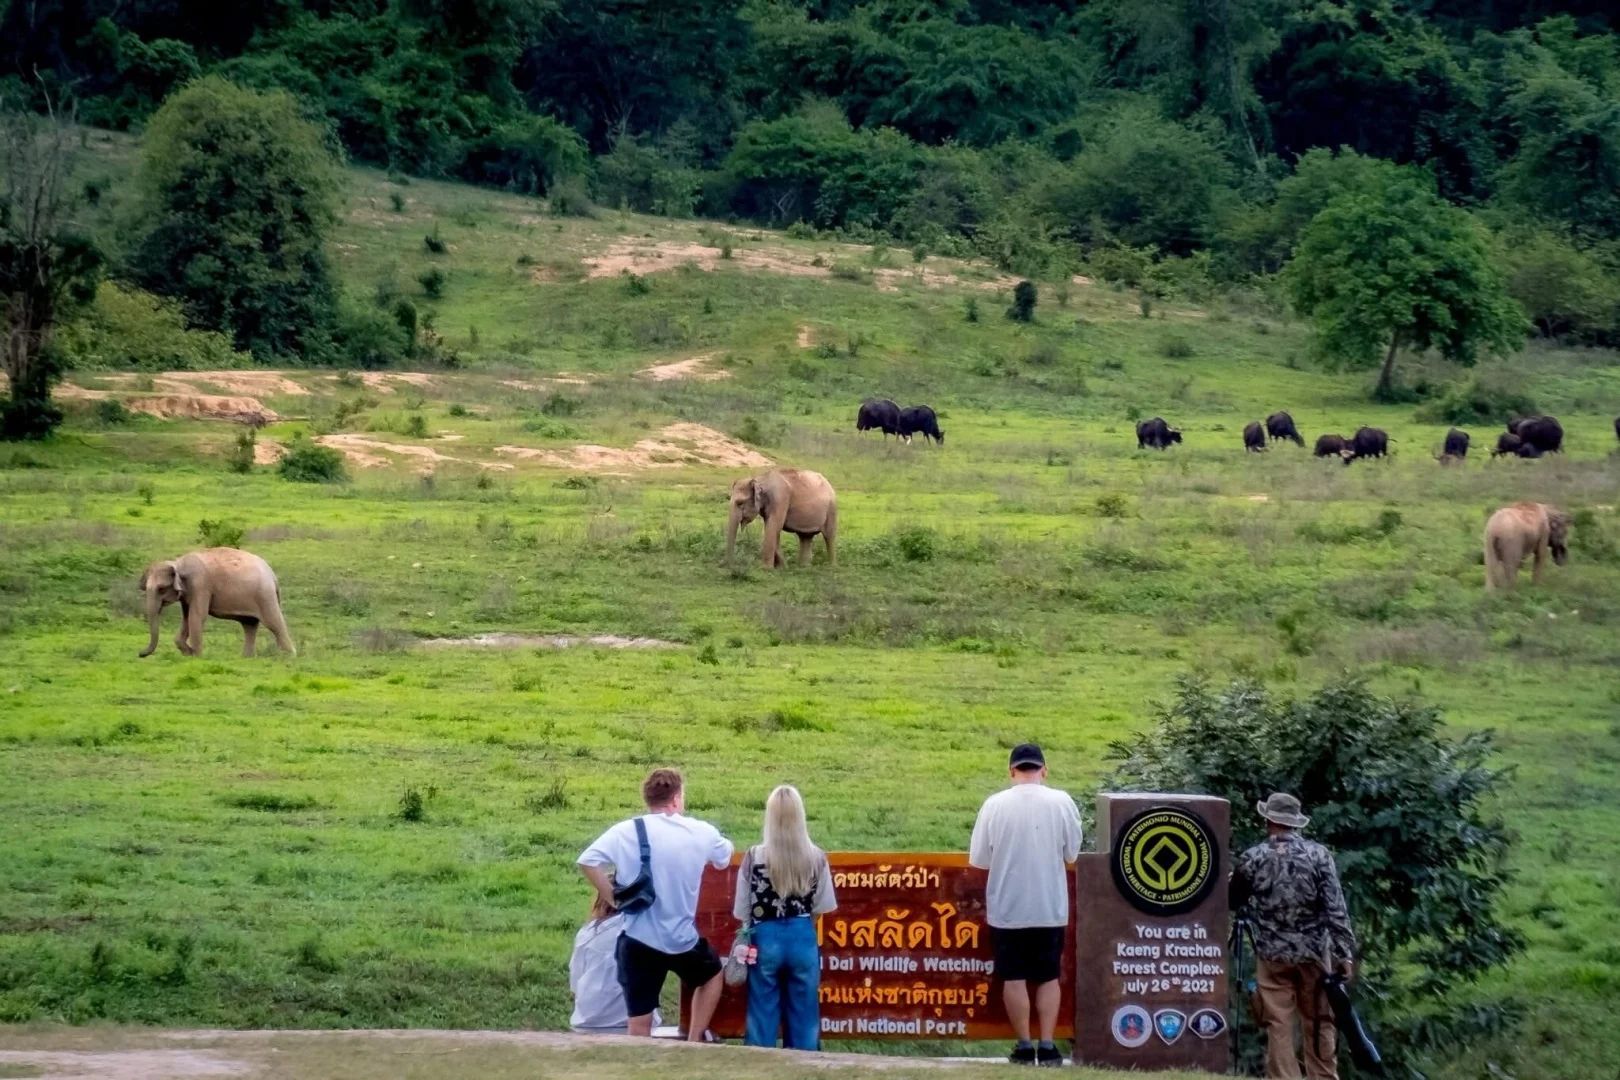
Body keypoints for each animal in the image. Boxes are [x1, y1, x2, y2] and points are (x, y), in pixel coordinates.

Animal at [138, 547, 294, 658]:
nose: (140, 654)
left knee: (274, 623)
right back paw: (247, 658)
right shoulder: (188, 593)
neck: (178, 562)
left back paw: (289, 657)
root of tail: (272, 575)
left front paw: (197, 657)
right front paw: (188, 653)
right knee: (249, 624)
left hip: (264, 595)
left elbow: (197, 617)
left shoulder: (200, 584)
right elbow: (187, 618)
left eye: (161, 589)